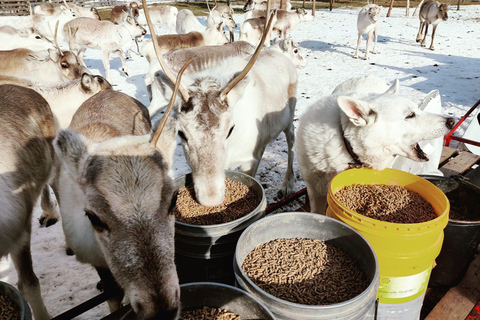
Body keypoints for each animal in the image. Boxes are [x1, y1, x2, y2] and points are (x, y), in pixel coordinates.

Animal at [294, 75, 456, 214]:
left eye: (416, 110)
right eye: (410, 115)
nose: (451, 121)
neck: (346, 144)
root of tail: (368, 75)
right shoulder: (314, 190)